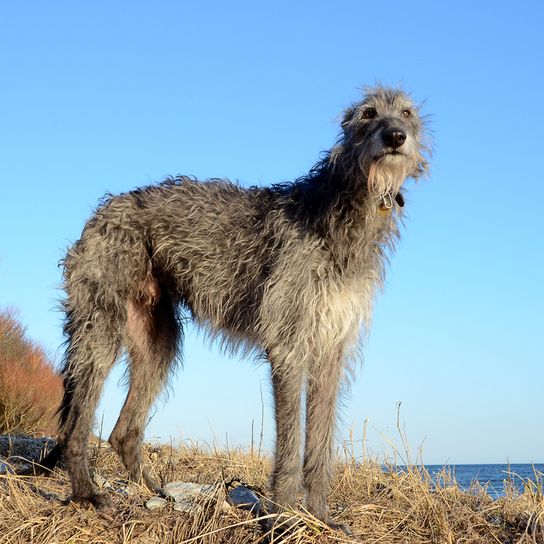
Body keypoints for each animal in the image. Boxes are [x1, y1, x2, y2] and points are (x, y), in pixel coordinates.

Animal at [38, 86, 430, 532]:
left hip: (156, 338)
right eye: (368, 113)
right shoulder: (289, 345)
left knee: (124, 429)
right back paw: (87, 493)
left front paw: (321, 517)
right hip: (100, 324)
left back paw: (153, 491)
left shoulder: (330, 350)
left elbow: (320, 443)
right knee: (76, 423)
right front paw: (283, 515)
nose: (396, 137)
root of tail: (104, 210)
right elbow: (291, 443)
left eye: (406, 113)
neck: (340, 209)